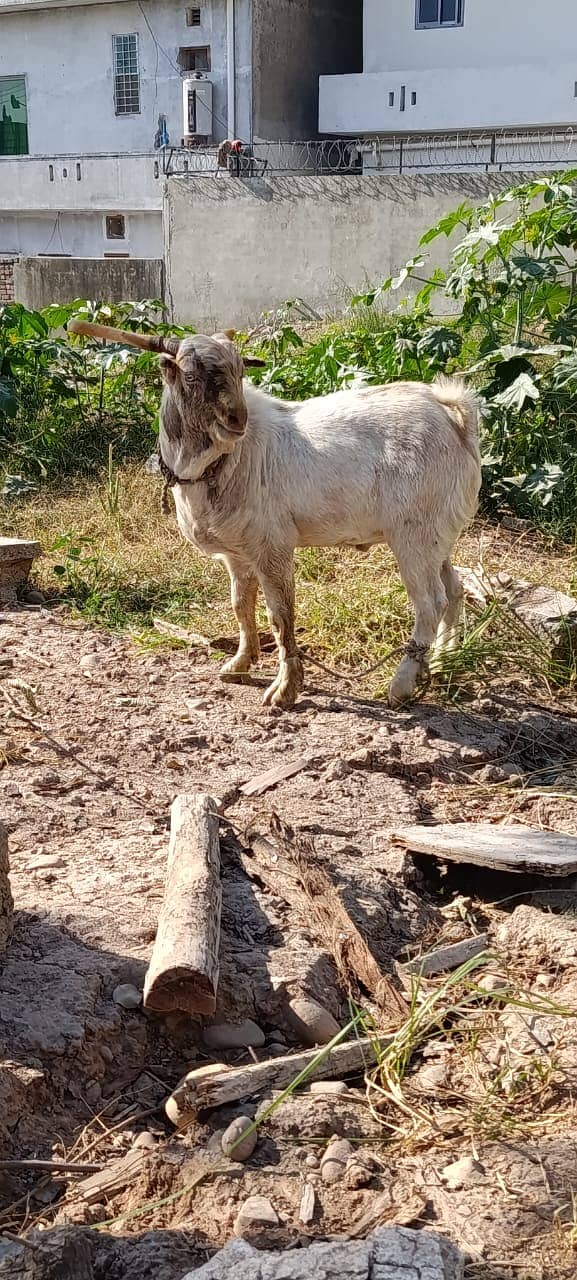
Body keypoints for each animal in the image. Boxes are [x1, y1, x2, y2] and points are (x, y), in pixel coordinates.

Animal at [68, 320, 483, 711]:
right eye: (191, 375)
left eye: (240, 371)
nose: (237, 419)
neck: (226, 460)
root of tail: (453, 413)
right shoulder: (236, 553)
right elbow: (241, 606)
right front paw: (239, 664)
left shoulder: (273, 546)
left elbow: (280, 617)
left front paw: (284, 690)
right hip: (437, 535)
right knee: (455, 589)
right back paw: (441, 662)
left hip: (413, 535)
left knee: (430, 603)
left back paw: (401, 685)